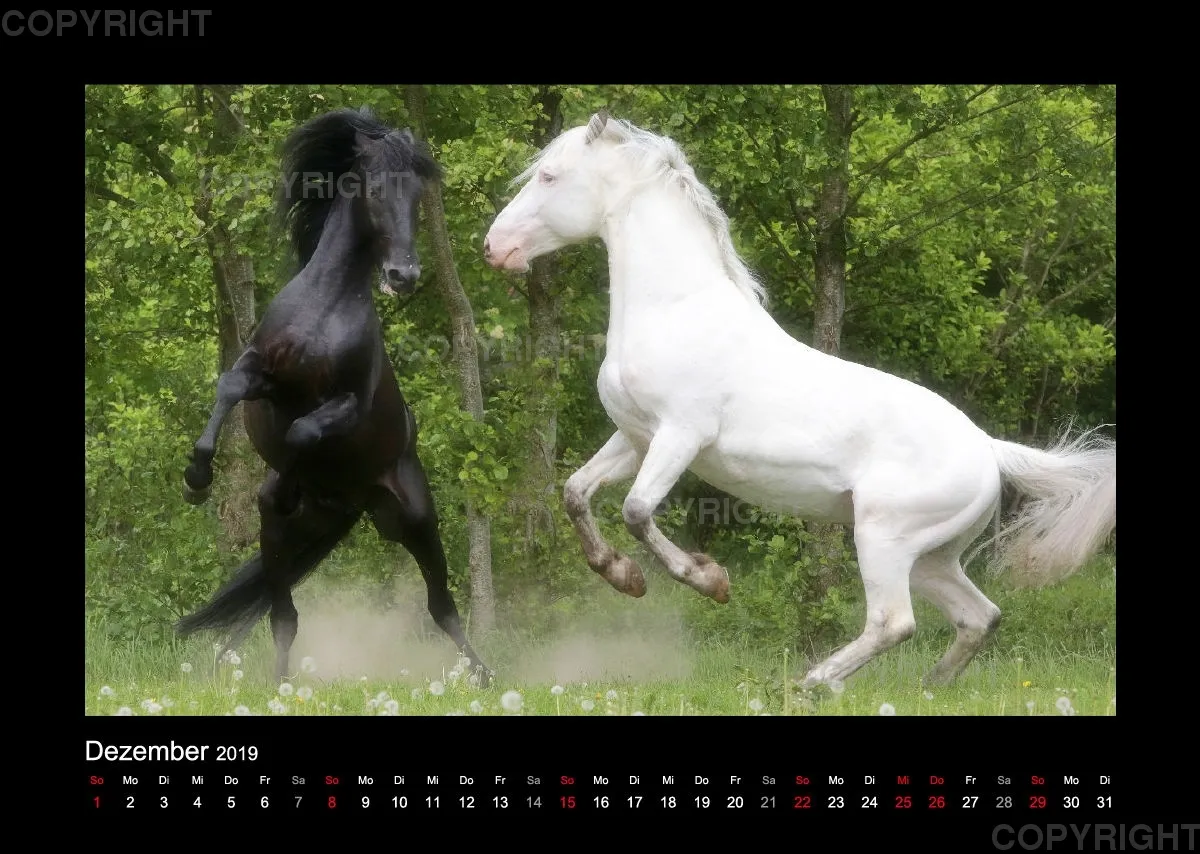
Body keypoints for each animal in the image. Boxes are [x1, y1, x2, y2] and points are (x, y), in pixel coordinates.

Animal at [176, 106, 493, 688]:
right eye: (374, 187)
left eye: (417, 194)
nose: (404, 275)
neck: (325, 308)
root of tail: (352, 505)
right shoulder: (261, 376)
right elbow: (229, 387)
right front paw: (196, 478)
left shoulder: (347, 403)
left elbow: (304, 430)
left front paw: (279, 482)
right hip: (292, 538)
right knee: (282, 613)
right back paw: (279, 683)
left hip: (416, 521)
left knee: (442, 607)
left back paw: (485, 677)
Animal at [483, 111, 1116, 689]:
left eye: (549, 176)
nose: (494, 248)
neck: (672, 310)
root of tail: (989, 448)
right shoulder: (635, 437)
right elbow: (575, 493)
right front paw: (623, 577)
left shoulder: (680, 435)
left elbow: (637, 511)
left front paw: (710, 581)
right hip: (931, 557)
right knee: (978, 616)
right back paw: (927, 687)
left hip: (883, 538)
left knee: (895, 622)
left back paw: (811, 683)